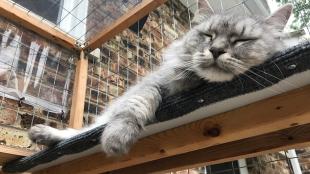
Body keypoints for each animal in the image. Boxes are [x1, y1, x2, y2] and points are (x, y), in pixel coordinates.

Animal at [27, 0, 292, 156]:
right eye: (208, 35)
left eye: (242, 41)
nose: (216, 50)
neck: (201, 84)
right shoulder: (151, 84)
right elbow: (136, 106)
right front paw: (117, 139)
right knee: (84, 130)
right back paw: (43, 133)